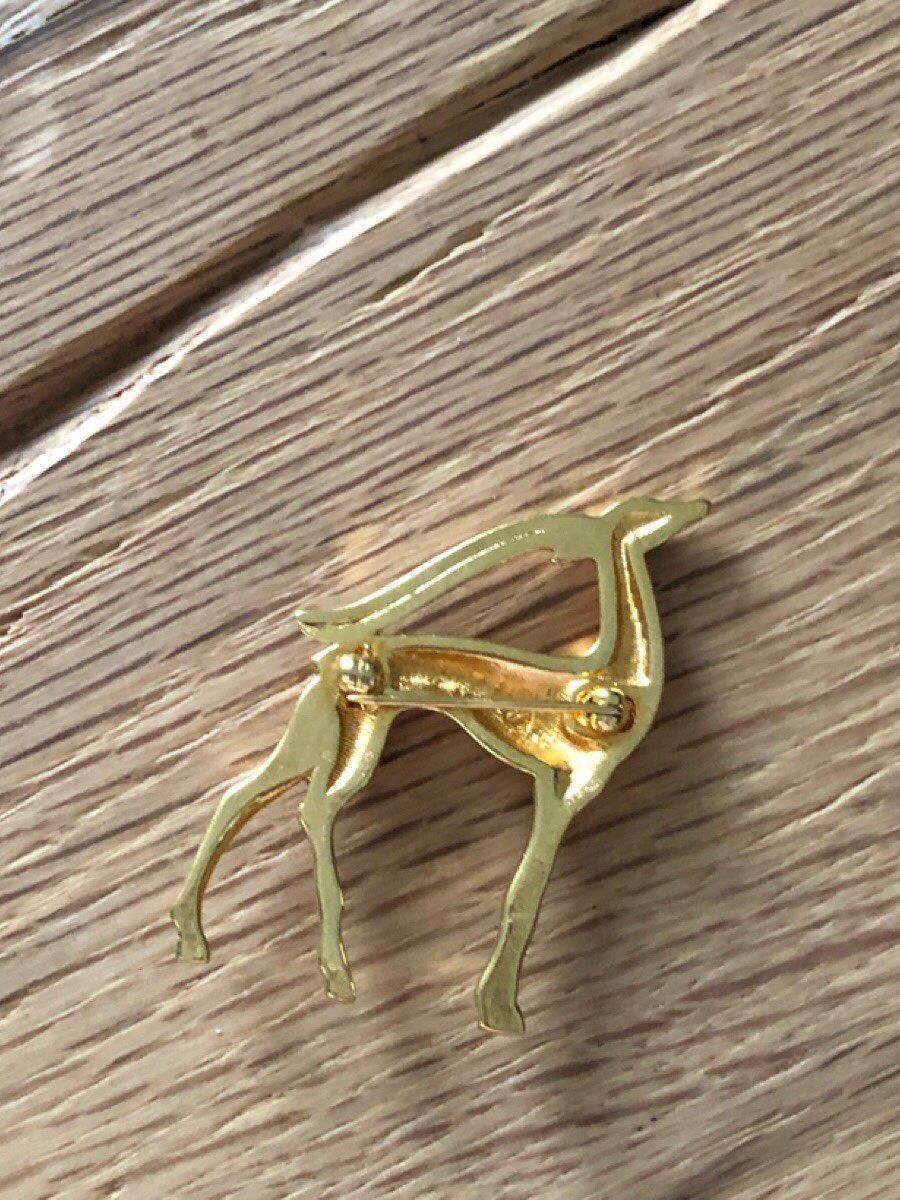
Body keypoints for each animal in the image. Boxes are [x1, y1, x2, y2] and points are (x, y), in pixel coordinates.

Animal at [171, 495, 709, 1033]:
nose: (697, 505)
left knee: (279, 803)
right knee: (271, 803)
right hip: (329, 741)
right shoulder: (560, 790)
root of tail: (337, 663)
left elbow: (524, 892)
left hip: (341, 746)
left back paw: (270, 956)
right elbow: (524, 895)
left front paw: (495, 1003)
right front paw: (499, 1009)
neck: (612, 691)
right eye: (650, 508)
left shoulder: (561, 793)